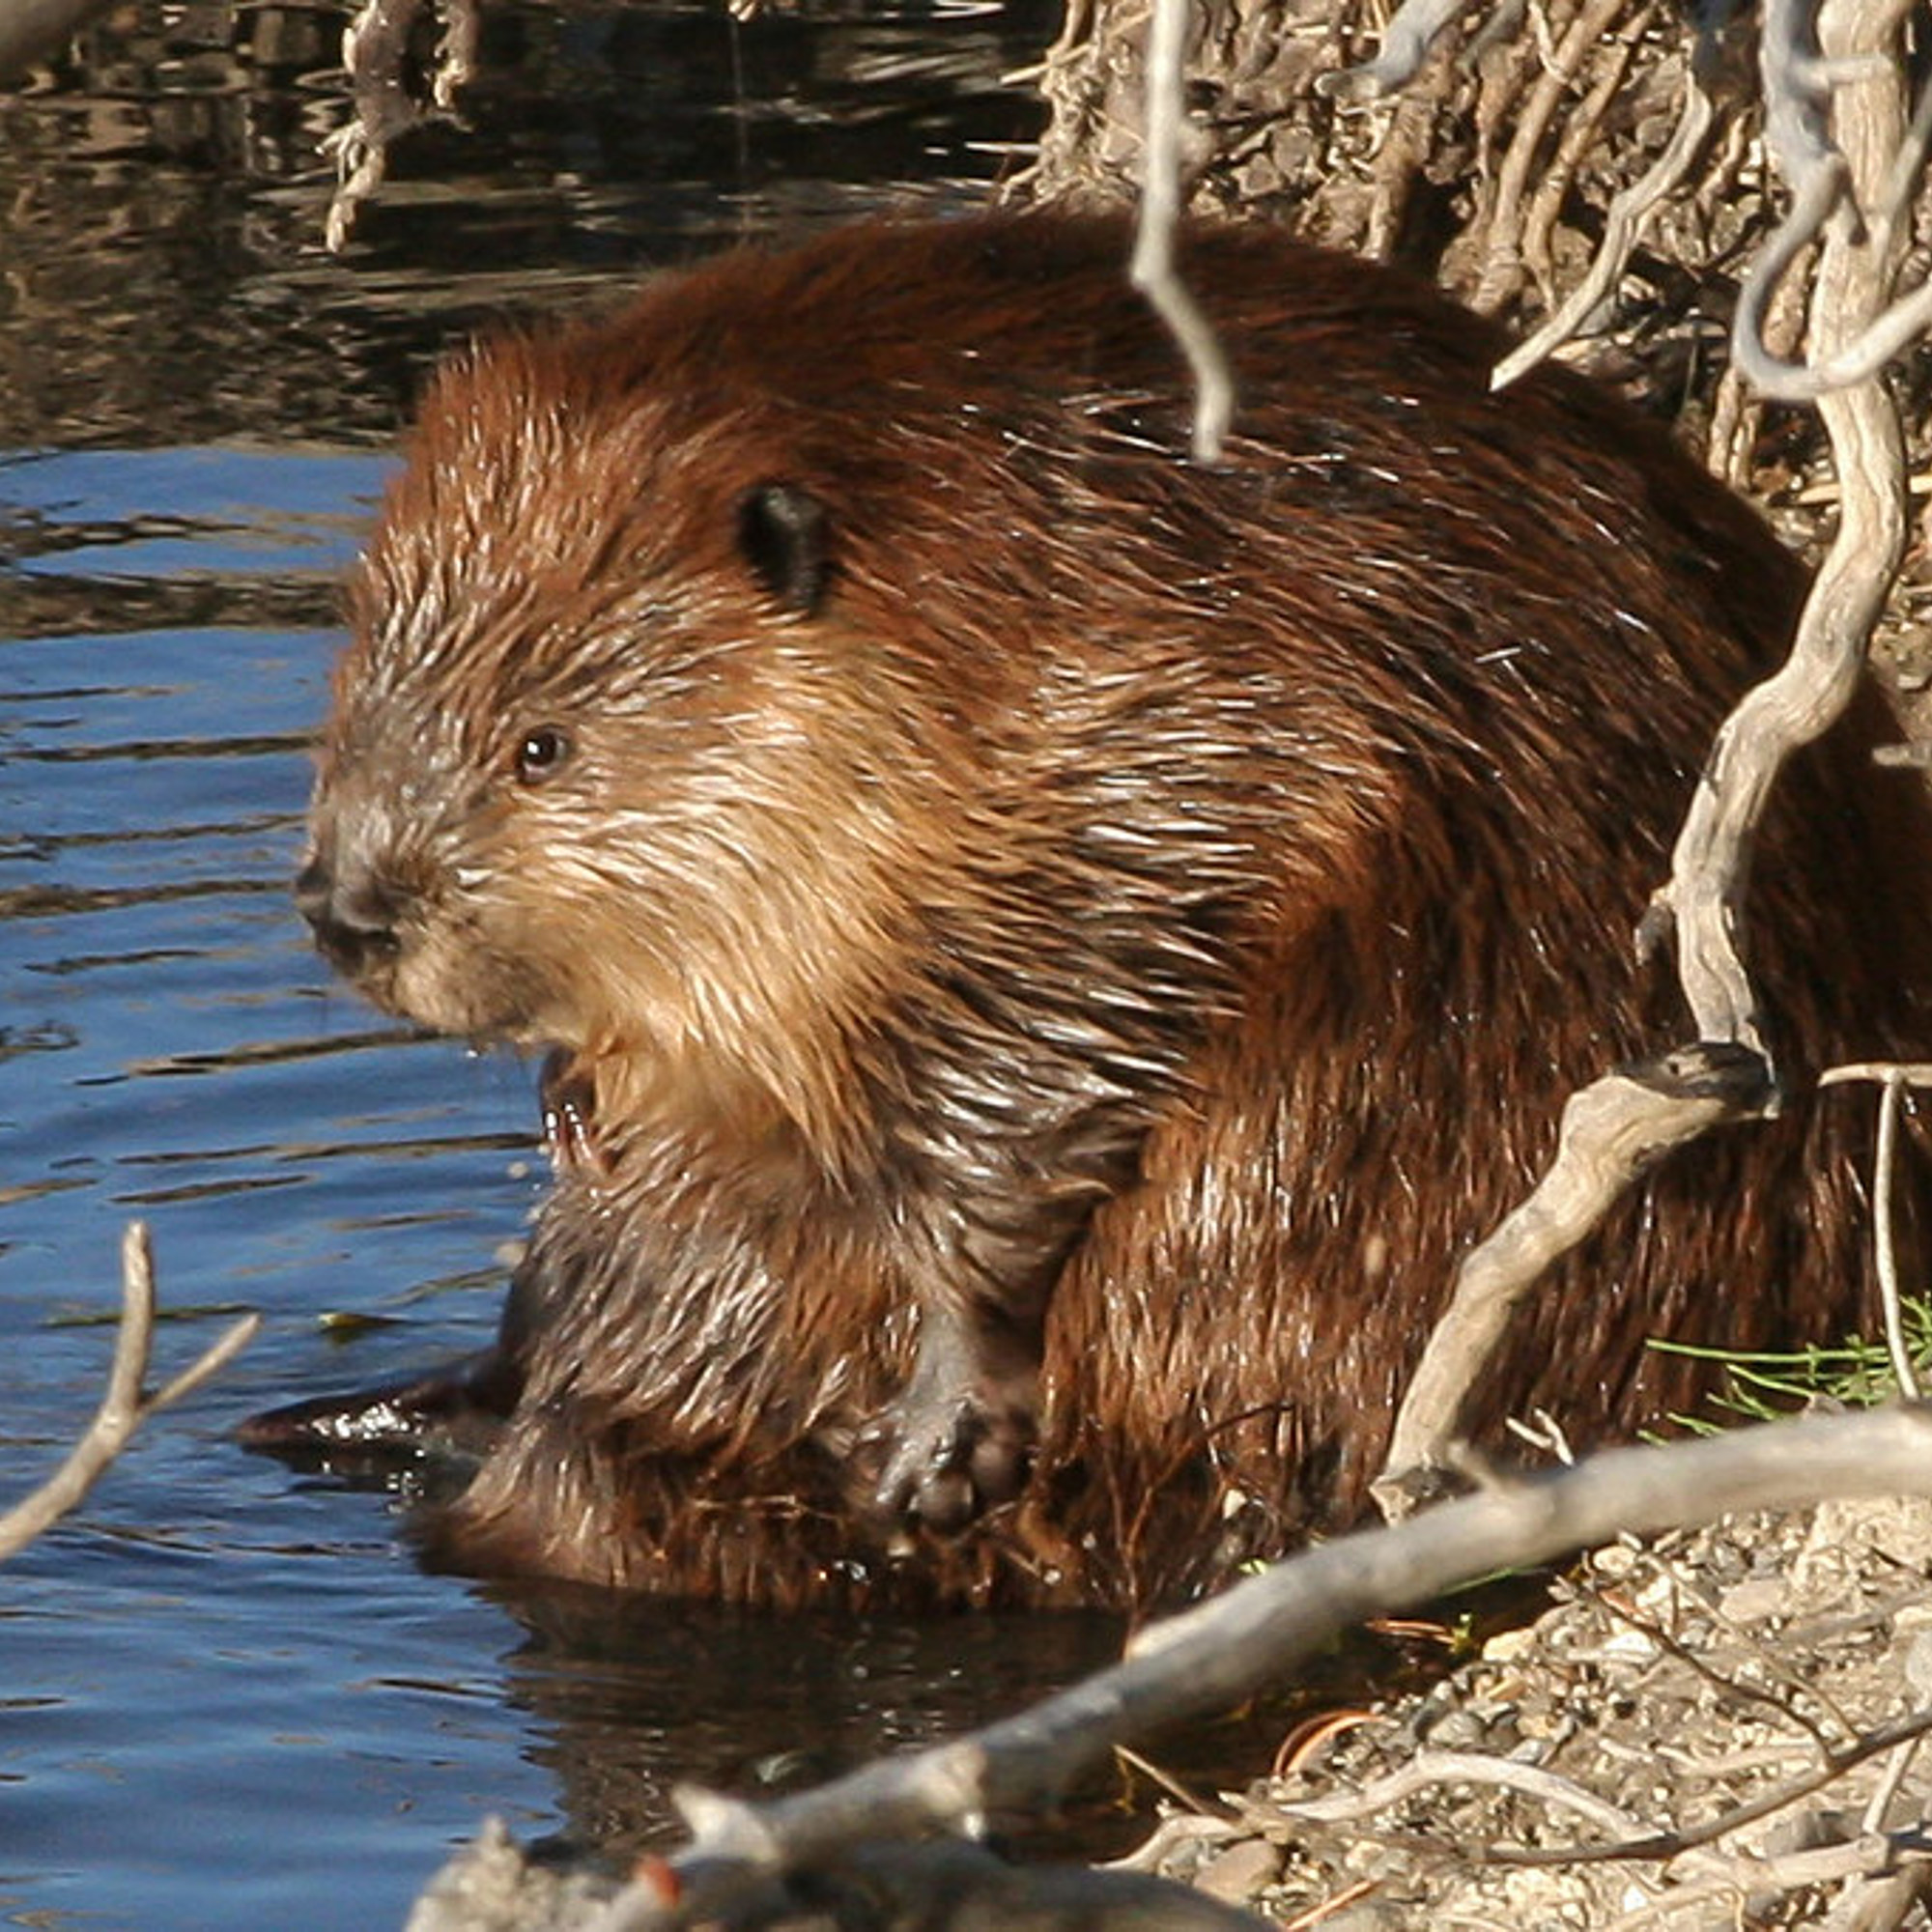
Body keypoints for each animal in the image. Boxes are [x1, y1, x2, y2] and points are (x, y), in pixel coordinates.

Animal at [257, 204, 1932, 1607]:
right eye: (353, 683)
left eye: (543, 745)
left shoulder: (1169, 738)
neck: (966, 584)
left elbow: (1059, 1047)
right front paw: (576, 1102)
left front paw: (940, 1428)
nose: (350, 912)